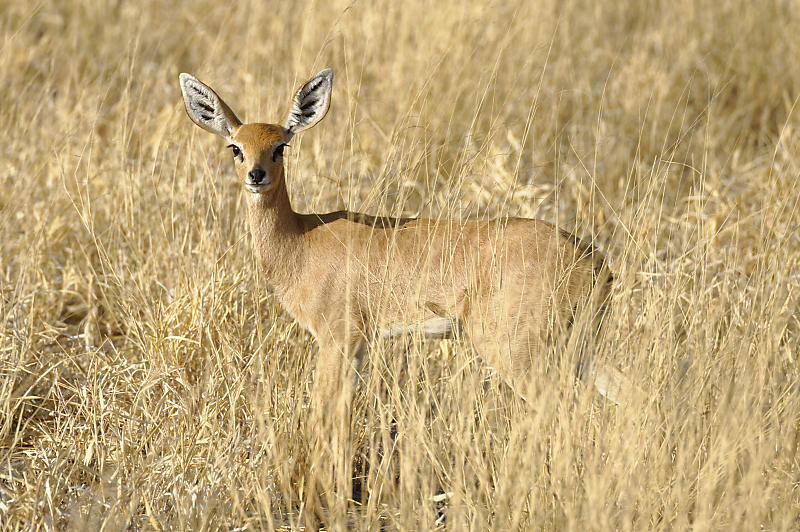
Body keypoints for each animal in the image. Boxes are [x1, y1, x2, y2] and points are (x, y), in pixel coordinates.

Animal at [181, 66, 624, 524]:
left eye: (280, 146)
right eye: (236, 146)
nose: (256, 175)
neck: (301, 242)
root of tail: (594, 261)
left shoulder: (337, 338)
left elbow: (322, 418)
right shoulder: (358, 347)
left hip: (516, 349)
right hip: (579, 347)